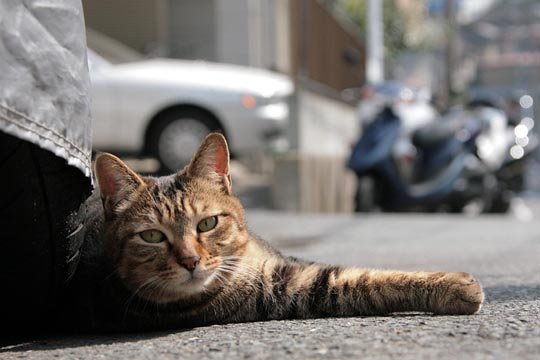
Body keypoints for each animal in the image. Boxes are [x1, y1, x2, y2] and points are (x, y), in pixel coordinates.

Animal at [62, 133, 486, 332]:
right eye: (152, 237)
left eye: (207, 223)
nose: (190, 260)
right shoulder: (290, 288)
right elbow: (366, 280)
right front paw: (457, 286)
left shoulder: (283, 264)